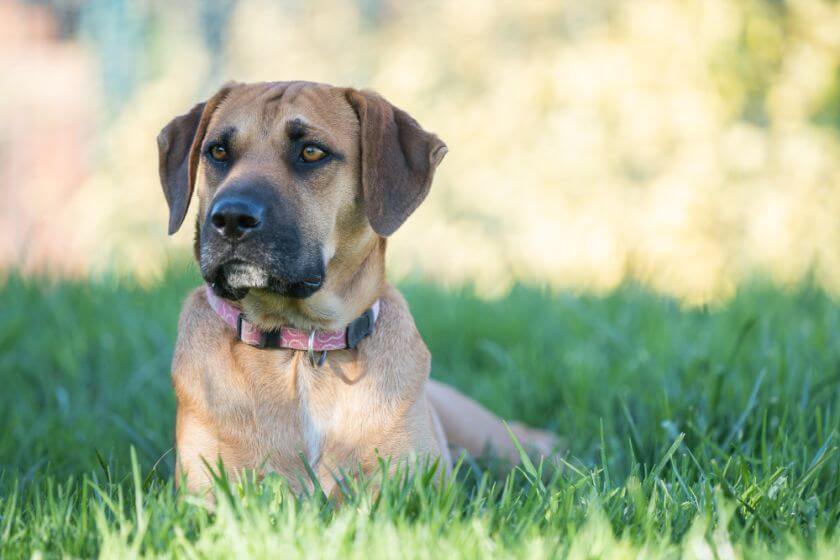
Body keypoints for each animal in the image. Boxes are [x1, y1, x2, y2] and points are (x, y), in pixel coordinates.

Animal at [158, 80, 556, 494]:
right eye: (218, 151)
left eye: (311, 151)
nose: (231, 218)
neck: (302, 345)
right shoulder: (211, 491)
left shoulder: (415, 488)